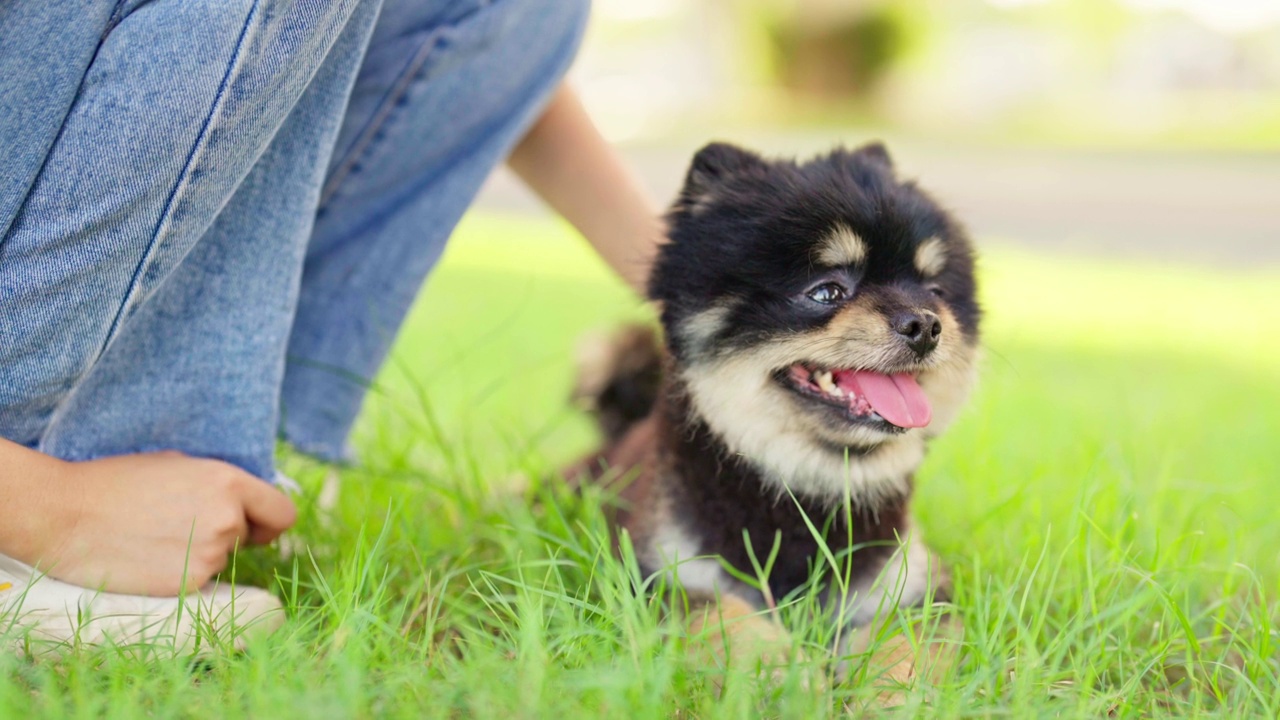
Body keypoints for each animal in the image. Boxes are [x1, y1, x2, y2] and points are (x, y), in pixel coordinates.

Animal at [570, 141, 977, 696]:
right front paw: (786, 677)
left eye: (934, 290)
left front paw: (891, 692)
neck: (806, 488)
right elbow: (723, 614)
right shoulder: (655, 574)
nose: (927, 325)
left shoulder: (911, 587)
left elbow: (904, 638)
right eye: (827, 292)